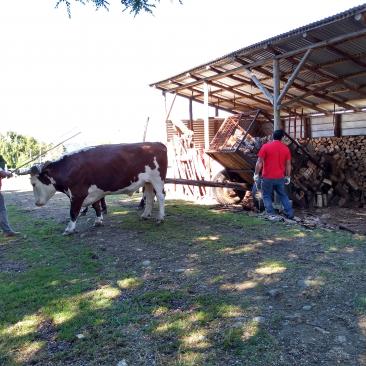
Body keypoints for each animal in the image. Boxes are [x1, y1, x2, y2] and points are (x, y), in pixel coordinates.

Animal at [21, 143, 167, 234]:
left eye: (33, 184)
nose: (37, 203)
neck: (68, 168)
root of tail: (157, 144)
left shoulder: (77, 194)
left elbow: (73, 212)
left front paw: (69, 229)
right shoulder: (94, 192)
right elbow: (96, 206)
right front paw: (98, 221)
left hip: (157, 179)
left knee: (160, 196)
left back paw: (160, 218)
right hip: (147, 182)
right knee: (149, 197)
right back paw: (145, 215)